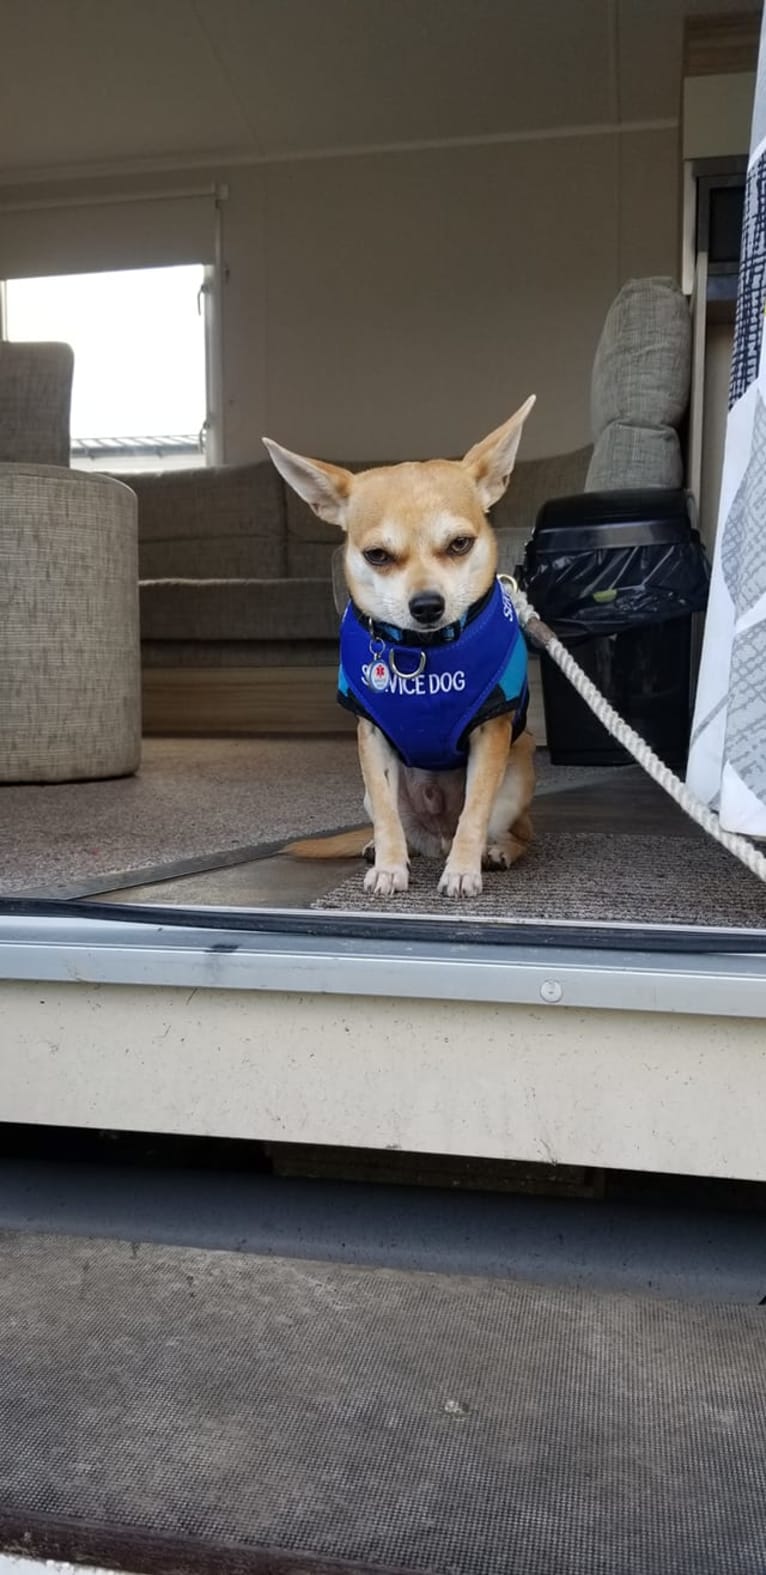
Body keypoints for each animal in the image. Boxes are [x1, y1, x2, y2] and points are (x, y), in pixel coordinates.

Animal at [266, 396, 535, 900]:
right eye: (377, 555)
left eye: (460, 544)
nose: (427, 604)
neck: (421, 653)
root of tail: (435, 837)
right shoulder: (373, 740)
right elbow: (389, 818)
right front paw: (390, 867)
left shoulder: (490, 736)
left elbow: (474, 811)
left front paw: (462, 870)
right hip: (373, 797)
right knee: (394, 823)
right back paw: (380, 848)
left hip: (517, 774)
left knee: (512, 831)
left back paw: (495, 851)